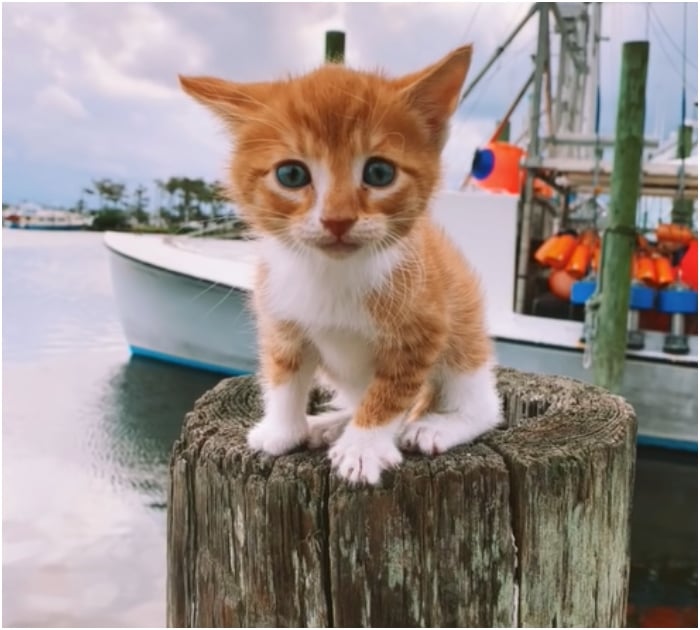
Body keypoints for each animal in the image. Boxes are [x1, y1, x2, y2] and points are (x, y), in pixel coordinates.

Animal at [178, 45, 500, 488]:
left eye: (379, 172)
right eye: (291, 174)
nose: (337, 220)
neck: (333, 273)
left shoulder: (423, 328)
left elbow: (392, 391)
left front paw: (363, 447)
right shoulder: (281, 316)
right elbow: (283, 373)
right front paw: (282, 430)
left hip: (464, 338)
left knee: (483, 407)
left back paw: (436, 426)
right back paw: (331, 423)